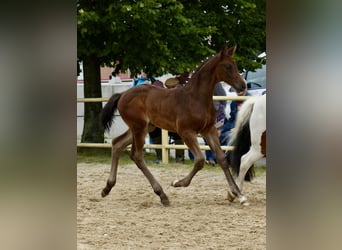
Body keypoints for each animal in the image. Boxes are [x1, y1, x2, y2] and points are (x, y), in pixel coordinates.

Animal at [100, 46, 247, 206]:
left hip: (144, 127)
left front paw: (239, 194)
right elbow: (200, 160)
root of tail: (122, 95)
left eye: (235, 65)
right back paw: (162, 195)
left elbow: (222, 159)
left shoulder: (209, 130)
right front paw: (178, 183)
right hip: (139, 128)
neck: (196, 98)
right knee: (137, 156)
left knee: (117, 144)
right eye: (228, 66)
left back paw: (107, 187)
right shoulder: (186, 132)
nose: (243, 85)